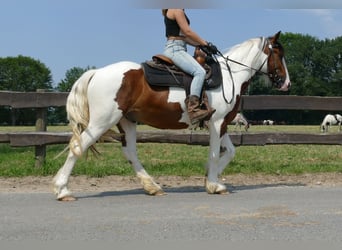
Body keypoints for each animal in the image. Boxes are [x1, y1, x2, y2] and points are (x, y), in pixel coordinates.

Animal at [53, 31, 292, 200]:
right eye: (278, 54)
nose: (286, 83)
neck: (229, 76)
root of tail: (97, 73)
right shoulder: (217, 123)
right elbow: (215, 153)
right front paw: (213, 184)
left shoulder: (219, 123)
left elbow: (230, 152)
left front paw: (211, 178)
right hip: (102, 122)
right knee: (79, 146)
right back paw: (62, 190)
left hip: (127, 121)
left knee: (130, 152)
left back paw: (152, 187)